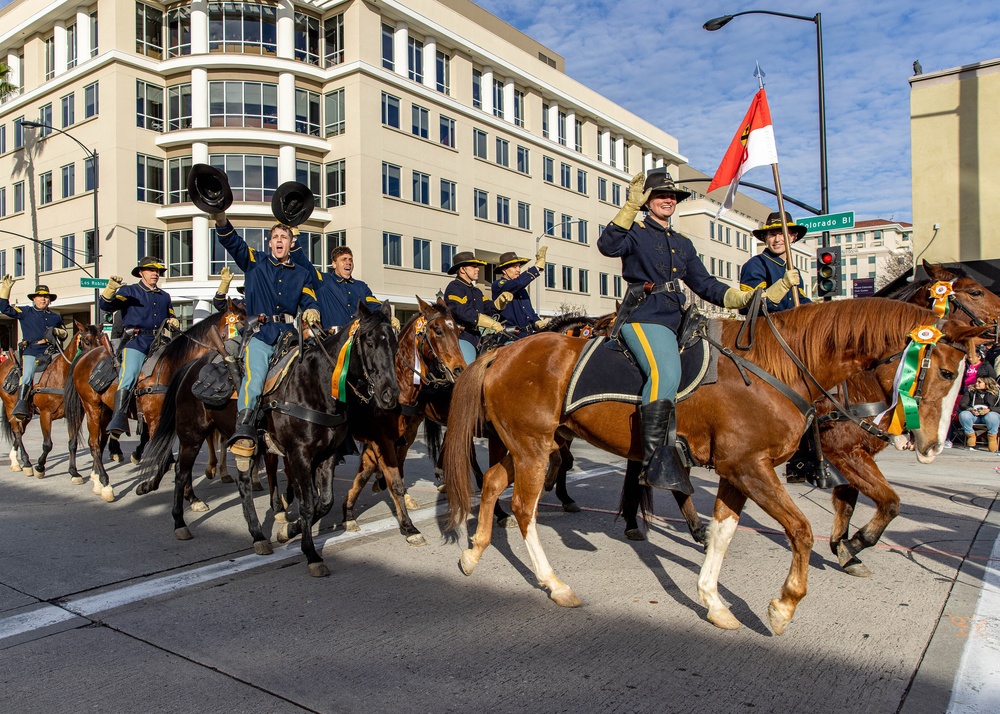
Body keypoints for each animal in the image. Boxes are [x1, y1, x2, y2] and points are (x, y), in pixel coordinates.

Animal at [0, 322, 104, 478]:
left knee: (20, 431)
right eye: (87, 341)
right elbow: (48, 444)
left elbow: (72, 443)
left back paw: (15, 461)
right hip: (10, 407)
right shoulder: (45, 414)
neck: (61, 375)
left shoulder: (76, 415)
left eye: (102, 341)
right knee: (17, 433)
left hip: (27, 413)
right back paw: (26, 463)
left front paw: (73, 472)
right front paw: (40, 467)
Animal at [141, 298, 398, 572]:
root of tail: (192, 366)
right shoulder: (299, 455)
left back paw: (257, 536)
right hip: (191, 435)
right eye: (369, 342)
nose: (390, 394)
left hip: (245, 444)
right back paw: (180, 523)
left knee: (243, 484)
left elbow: (324, 503)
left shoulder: (327, 454)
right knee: (181, 473)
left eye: (393, 343)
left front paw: (288, 530)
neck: (314, 384)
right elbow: (307, 505)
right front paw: (311, 554)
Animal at [444, 298, 984, 632]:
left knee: (491, 487)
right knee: (525, 510)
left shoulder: (737, 472)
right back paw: (555, 585)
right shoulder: (752, 466)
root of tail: (504, 351)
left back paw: (473, 554)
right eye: (946, 371)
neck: (774, 367)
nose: (933, 445)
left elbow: (724, 532)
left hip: (525, 446)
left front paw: (714, 601)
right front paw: (784, 605)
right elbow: (802, 530)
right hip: (534, 449)